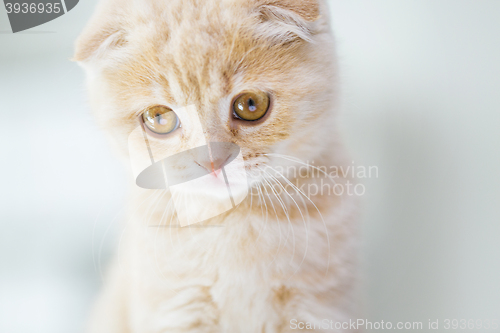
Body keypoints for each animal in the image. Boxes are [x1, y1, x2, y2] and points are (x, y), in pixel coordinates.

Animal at [74, 0, 358, 330]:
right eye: (159, 118)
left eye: (251, 104)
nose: (211, 160)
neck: (235, 223)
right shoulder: (175, 309)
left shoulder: (318, 309)